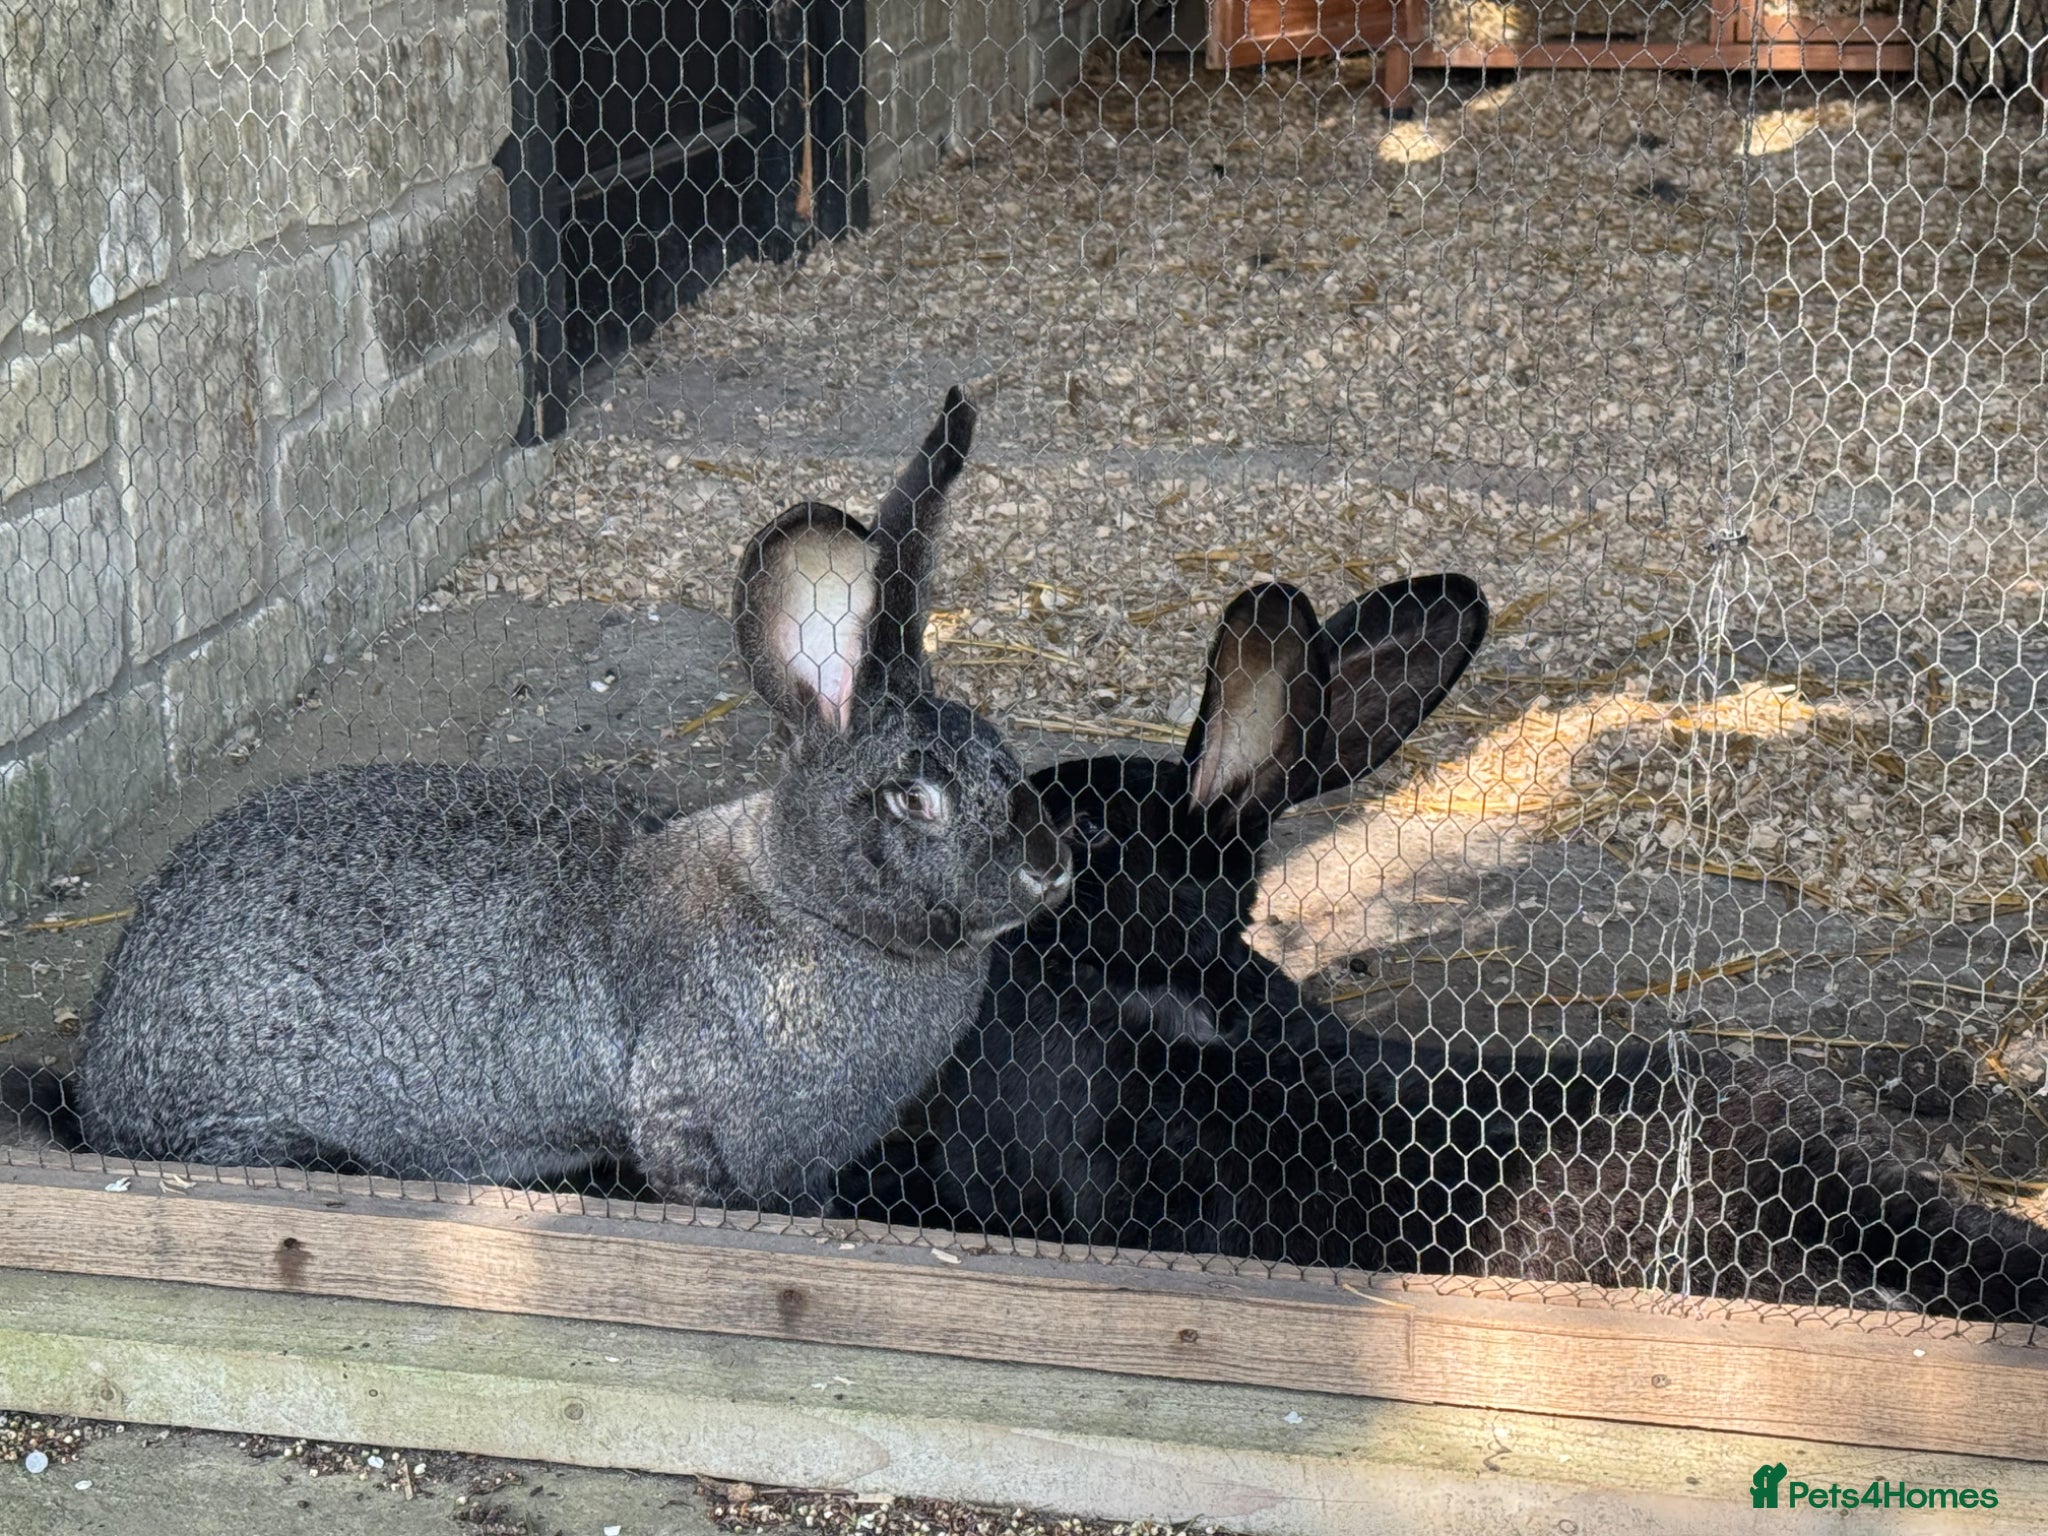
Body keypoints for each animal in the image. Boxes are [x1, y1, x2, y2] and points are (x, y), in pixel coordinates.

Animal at [79, 387, 1073, 1205]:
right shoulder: (689, 1120)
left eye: (1004, 756)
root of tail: (105, 1060)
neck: (801, 902)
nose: (1049, 866)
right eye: (913, 799)